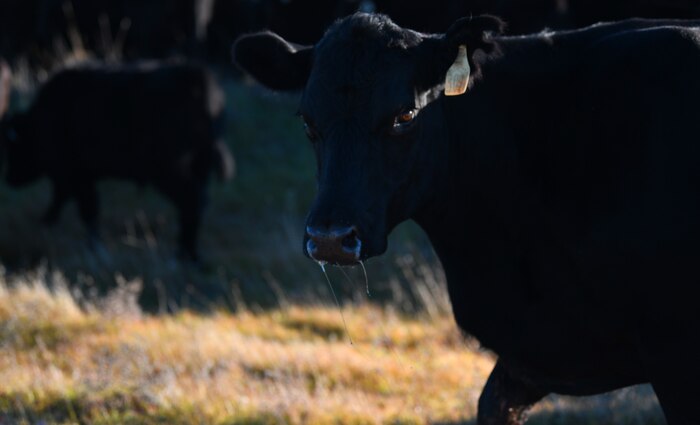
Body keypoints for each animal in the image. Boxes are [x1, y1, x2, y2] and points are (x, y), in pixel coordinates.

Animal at [0, 60, 234, 261]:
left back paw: (185, 256)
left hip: (170, 172)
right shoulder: (74, 177)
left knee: (191, 202)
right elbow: (64, 200)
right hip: (200, 168)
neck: (41, 120)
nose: (9, 179)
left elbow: (87, 209)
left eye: (14, 148)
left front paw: (94, 246)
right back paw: (190, 254)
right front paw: (46, 222)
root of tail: (199, 79)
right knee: (199, 203)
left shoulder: (76, 174)